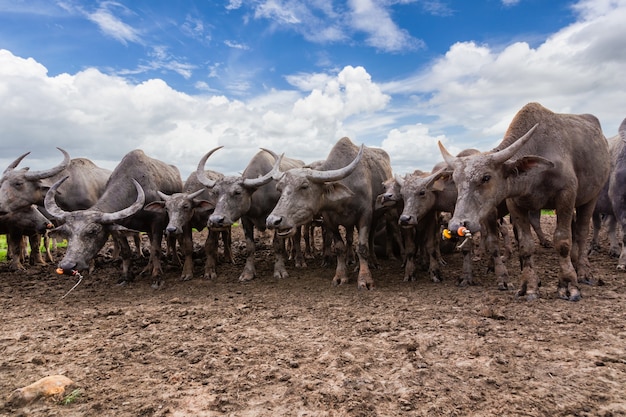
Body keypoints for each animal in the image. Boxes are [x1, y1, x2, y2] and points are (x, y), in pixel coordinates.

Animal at [44, 148, 183, 288]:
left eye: (93, 231)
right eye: (66, 233)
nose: (67, 266)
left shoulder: (157, 222)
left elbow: (156, 250)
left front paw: (157, 277)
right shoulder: (118, 226)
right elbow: (126, 252)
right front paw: (126, 277)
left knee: (168, 241)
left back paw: (174, 262)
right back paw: (147, 269)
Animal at [195, 148, 302, 282]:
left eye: (237, 192)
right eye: (215, 193)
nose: (215, 220)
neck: (260, 199)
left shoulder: (277, 219)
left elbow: (277, 244)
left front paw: (280, 270)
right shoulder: (245, 219)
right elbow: (250, 246)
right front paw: (248, 273)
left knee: (294, 237)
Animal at [266, 136, 392, 290]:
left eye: (304, 186)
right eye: (279, 188)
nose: (273, 220)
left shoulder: (365, 216)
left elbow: (362, 247)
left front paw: (365, 279)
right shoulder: (329, 221)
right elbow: (339, 247)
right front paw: (340, 276)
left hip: (376, 217)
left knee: (370, 238)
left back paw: (371, 262)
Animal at [436, 102, 608, 300]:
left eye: (486, 177)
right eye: (456, 181)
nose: (456, 225)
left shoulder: (566, 196)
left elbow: (563, 241)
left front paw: (568, 284)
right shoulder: (515, 205)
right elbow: (525, 245)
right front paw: (529, 285)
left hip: (591, 197)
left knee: (581, 232)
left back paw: (584, 271)